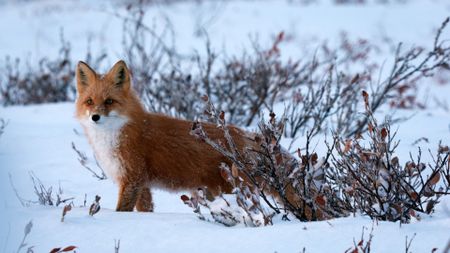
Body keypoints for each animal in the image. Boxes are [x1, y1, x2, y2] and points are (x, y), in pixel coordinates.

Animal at [75, 59, 255, 211]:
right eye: (89, 101)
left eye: (109, 101)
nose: (95, 117)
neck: (115, 136)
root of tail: (244, 135)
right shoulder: (142, 184)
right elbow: (145, 209)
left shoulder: (132, 178)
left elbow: (122, 210)